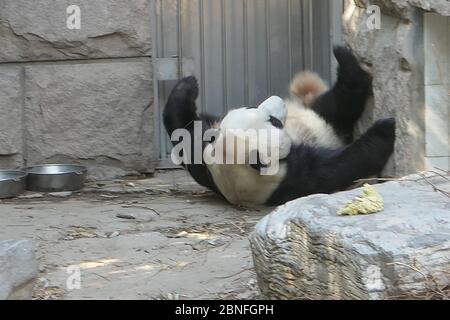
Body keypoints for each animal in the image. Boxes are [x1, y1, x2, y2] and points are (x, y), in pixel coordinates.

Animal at [163, 47, 396, 208]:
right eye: (273, 121)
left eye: (251, 106)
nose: (278, 100)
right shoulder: (290, 178)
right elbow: (338, 166)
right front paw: (384, 130)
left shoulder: (204, 160)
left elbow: (184, 134)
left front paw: (187, 84)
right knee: (340, 105)